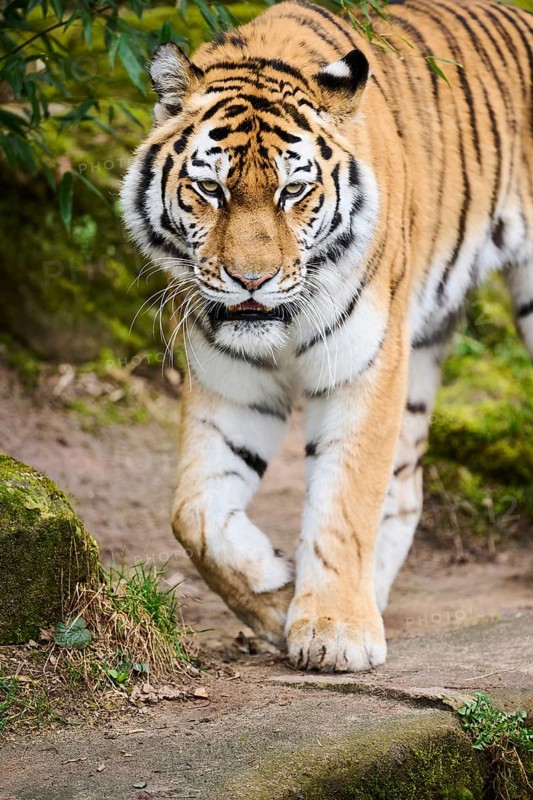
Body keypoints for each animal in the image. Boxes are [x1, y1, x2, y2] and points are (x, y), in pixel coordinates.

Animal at [121, 0, 533, 672]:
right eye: (211, 188)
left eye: (294, 191)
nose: (251, 280)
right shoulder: (231, 382)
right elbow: (194, 512)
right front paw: (279, 600)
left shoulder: (364, 368)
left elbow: (344, 501)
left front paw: (335, 631)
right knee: (407, 487)